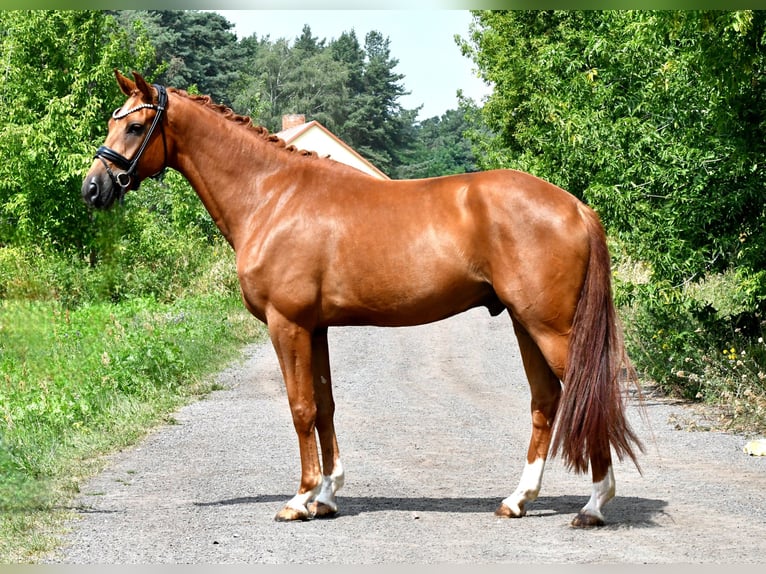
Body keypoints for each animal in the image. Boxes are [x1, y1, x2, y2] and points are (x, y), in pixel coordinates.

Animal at [82, 70, 643, 527]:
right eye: (113, 123)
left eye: (135, 128)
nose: (93, 189)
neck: (271, 195)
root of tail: (575, 206)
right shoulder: (315, 328)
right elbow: (325, 406)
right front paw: (327, 497)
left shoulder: (287, 324)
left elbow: (301, 407)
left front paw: (300, 500)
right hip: (527, 325)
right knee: (546, 401)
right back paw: (518, 500)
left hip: (550, 328)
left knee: (591, 395)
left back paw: (594, 505)